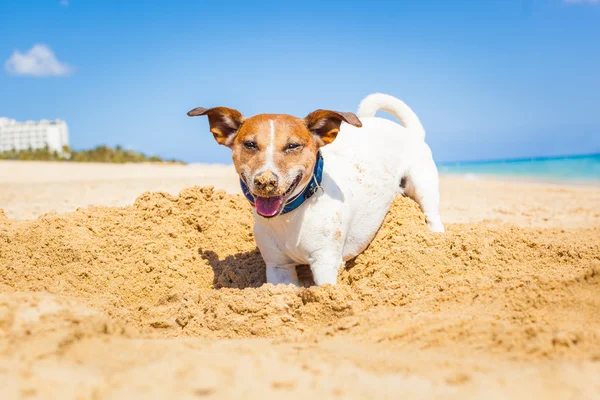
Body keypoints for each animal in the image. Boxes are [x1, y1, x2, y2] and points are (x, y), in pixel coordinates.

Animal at [190, 93, 442, 288]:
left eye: (292, 146)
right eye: (250, 145)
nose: (265, 181)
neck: (291, 216)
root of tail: (411, 132)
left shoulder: (325, 263)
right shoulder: (278, 267)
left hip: (424, 188)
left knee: (433, 218)